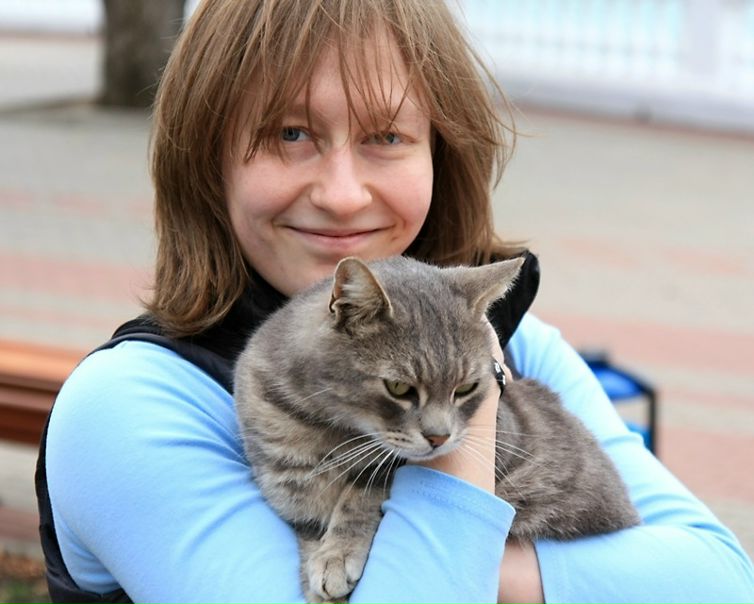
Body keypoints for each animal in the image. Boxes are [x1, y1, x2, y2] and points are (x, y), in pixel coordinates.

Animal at [233, 255, 640, 602]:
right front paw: (319, 573)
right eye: (399, 388)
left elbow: (361, 496)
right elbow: (308, 528)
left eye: (466, 388)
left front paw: (336, 555)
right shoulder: (289, 492)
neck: (320, 429)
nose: (439, 437)